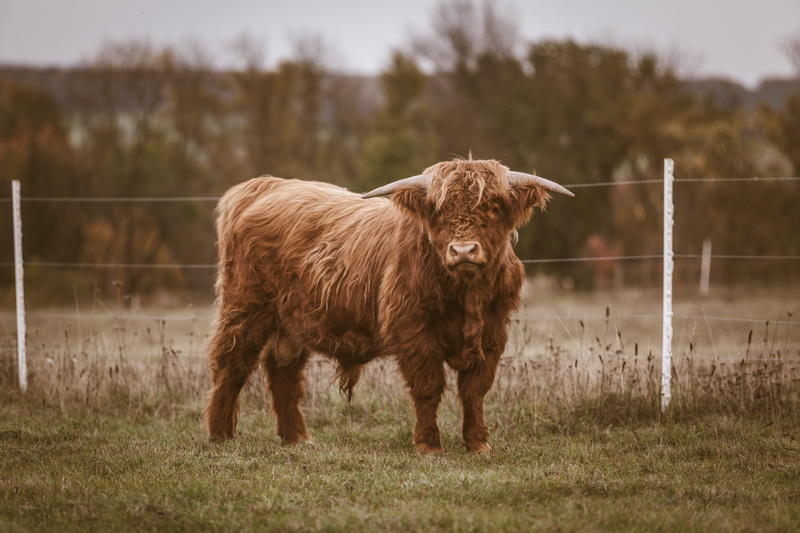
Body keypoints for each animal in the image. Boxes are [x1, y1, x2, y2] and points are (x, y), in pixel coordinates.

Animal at [203, 158, 573, 454]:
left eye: (494, 209)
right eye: (440, 211)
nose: (463, 250)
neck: (465, 297)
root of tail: (266, 186)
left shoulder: (493, 333)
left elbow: (474, 391)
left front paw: (478, 444)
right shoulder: (412, 331)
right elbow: (428, 387)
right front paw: (429, 446)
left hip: (292, 321)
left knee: (283, 369)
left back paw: (297, 438)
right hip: (244, 306)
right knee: (231, 364)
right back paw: (221, 435)